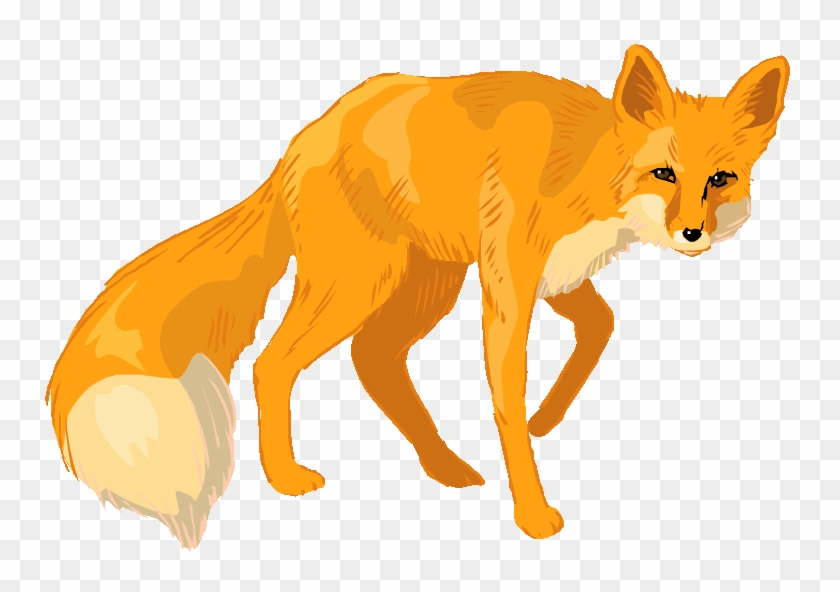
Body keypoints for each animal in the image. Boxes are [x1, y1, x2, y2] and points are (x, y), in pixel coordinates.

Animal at [46, 45, 789, 546]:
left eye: (720, 178)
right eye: (664, 173)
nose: (692, 233)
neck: (579, 169)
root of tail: (301, 139)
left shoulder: (557, 278)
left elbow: (598, 329)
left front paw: (547, 418)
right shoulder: (507, 286)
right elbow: (506, 404)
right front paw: (533, 513)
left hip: (424, 286)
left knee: (373, 361)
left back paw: (444, 468)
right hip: (357, 286)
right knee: (271, 363)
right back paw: (285, 477)